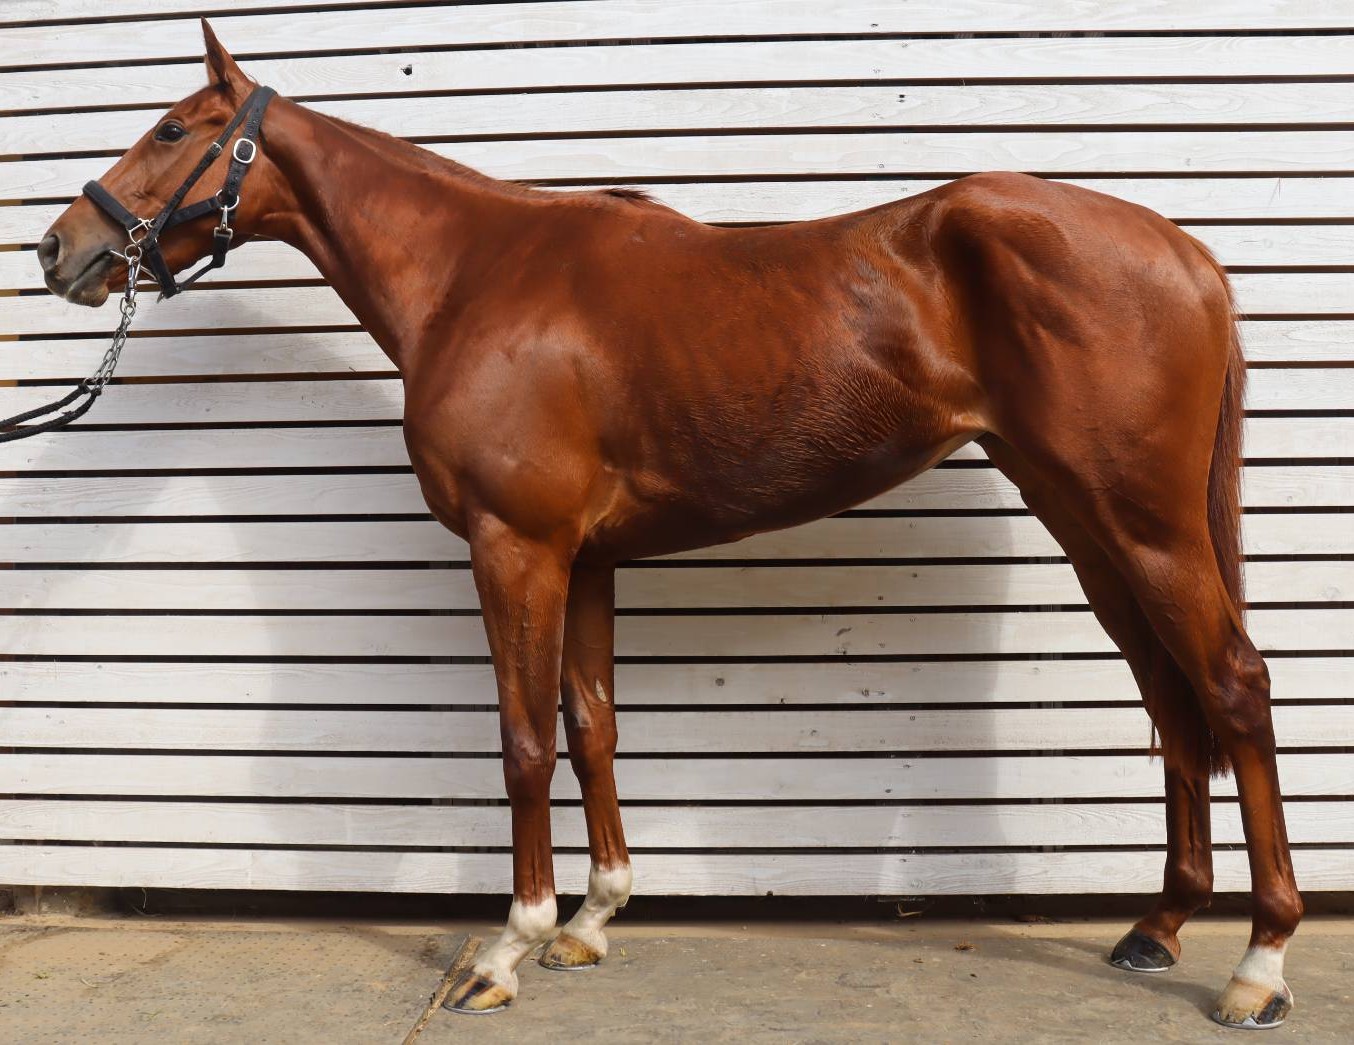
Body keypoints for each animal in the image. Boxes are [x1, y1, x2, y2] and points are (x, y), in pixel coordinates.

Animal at [37, 21, 1302, 1028]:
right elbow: (593, 725)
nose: (60, 250)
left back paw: (1258, 963)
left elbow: (523, 741)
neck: (477, 276)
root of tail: (1182, 250)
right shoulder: (587, 558)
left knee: (1233, 684)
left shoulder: (515, 547)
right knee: (1169, 697)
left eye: (169, 129)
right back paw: (1158, 927)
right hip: (1087, 521)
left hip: (1142, 523)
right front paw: (592, 920)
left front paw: (507, 945)